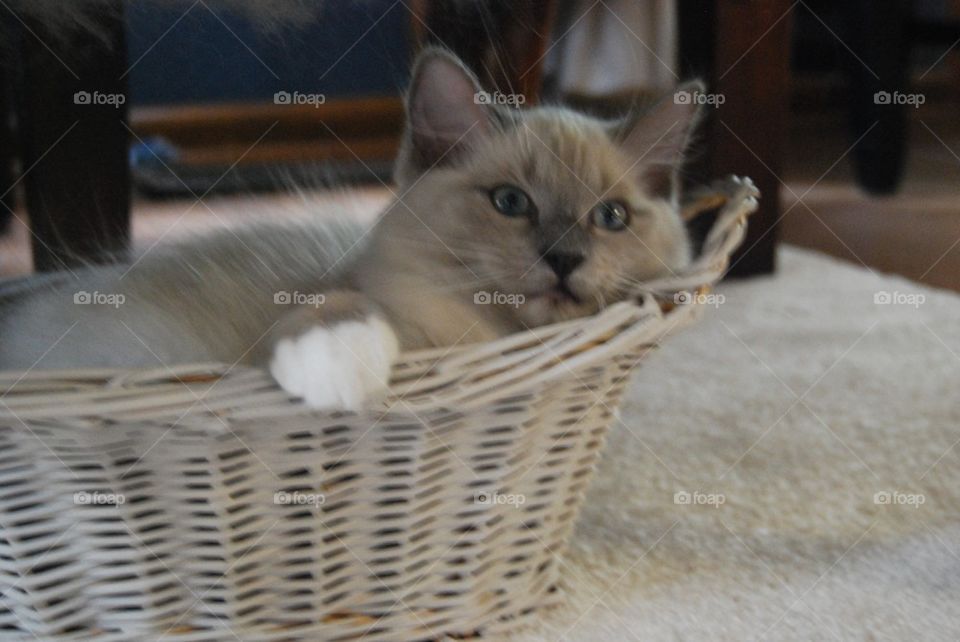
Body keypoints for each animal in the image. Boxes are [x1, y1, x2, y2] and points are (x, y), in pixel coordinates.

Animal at [0, 48, 704, 410]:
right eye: (511, 202)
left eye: (611, 218)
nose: (564, 258)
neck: (484, 337)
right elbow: (340, 309)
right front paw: (338, 377)